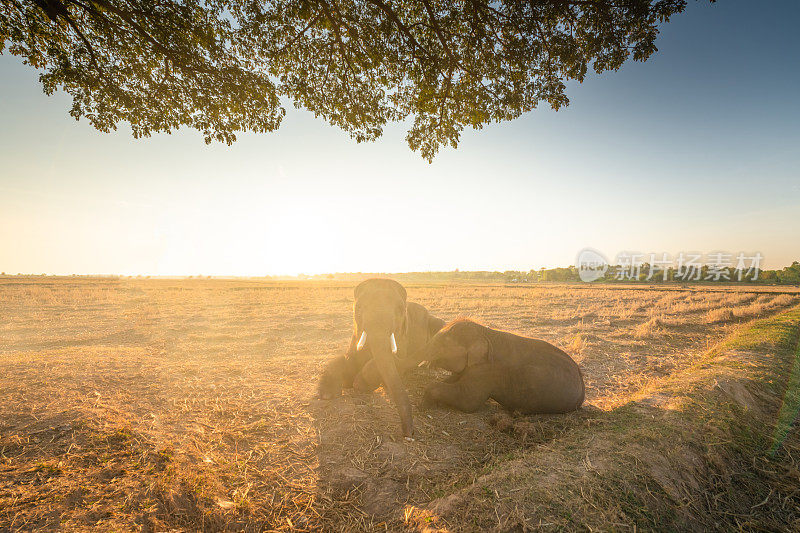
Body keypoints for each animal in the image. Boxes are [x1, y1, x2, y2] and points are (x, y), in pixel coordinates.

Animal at [318, 278, 444, 436]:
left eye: (400, 310)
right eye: (359, 307)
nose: (409, 434)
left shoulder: (403, 338)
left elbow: (392, 366)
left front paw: (359, 383)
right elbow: (347, 359)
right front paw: (327, 395)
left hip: (437, 323)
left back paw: (429, 365)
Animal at [422, 318, 584, 414]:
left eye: (442, 343)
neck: (484, 332)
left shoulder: (487, 370)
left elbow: (468, 400)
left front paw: (427, 403)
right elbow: (454, 380)